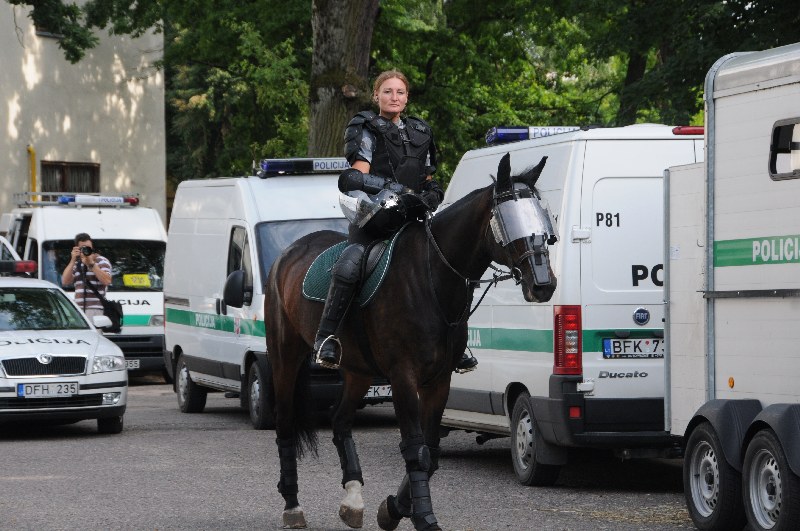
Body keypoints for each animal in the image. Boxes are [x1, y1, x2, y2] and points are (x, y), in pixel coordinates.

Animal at [266, 152, 560, 528]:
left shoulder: (439, 380)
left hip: (358, 371)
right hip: (284, 358)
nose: (543, 285)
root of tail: (287, 254)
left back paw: (353, 500)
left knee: (340, 420)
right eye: (509, 220)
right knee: (285, 425)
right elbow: (416, 450)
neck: (431, 277)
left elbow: (430, 452)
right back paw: (292, 506)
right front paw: (422, 517)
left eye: (544, 221)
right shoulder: (404, 377)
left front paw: (392, 508)